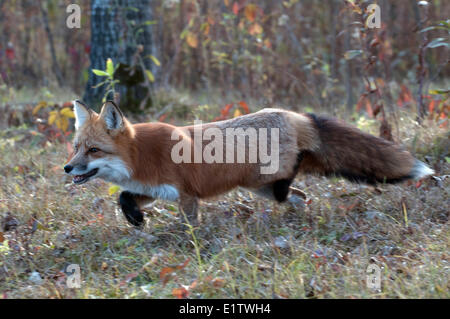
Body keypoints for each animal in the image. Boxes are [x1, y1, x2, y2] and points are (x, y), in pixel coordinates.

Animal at [65, 100, 434, 228]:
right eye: (76, 149)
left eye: (94, 151)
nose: (67, 169)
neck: (142, 156)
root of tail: (294, 114)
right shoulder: (156, 191)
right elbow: (123, 197)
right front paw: (136, 220)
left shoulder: (186, 195)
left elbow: (188, 226)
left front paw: (184, 243)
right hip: (260, 189)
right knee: (301, 197)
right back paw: (299, 216)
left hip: (263, 182)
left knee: (290, 185)